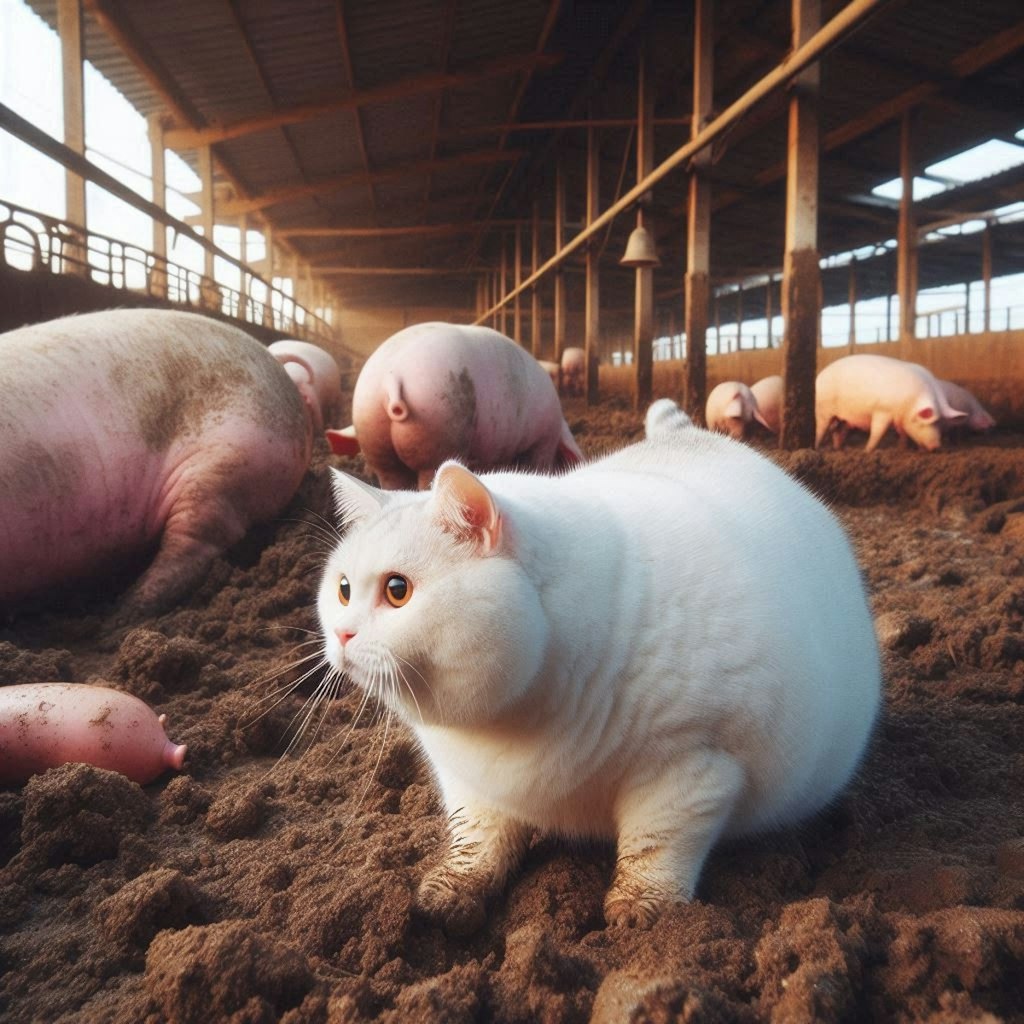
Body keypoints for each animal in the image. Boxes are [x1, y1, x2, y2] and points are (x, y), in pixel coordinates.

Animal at [319, 428, 880, 933]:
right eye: (343, 589)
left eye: (397, 591)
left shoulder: (690, 772)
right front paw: (451, 891)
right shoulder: (469, 785)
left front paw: (640, 913)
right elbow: (477, 841)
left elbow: (653, 849)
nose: (342, 634)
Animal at [811, 354, 962, 450]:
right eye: (926, 422)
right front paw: (867, 451)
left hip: (843, 418)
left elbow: (903, 434)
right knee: (821, 428)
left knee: (838, 431)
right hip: (823, 409)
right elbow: (878, 432)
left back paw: (839, 449)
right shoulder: (883, 410)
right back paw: (817, 447)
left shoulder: (899, 419)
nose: (936, 447)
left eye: (939, 423)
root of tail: (819, 377)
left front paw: (902, 449)